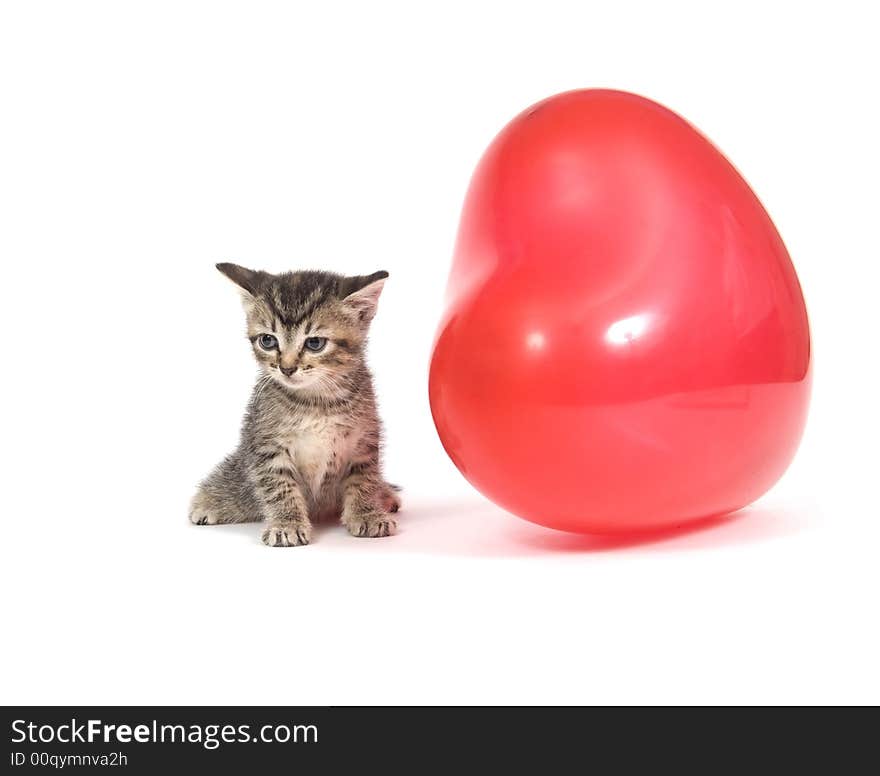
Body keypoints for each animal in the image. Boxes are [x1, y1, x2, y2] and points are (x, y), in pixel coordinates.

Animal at [192, 260, 402, 544]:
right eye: (267, 340)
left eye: (314, 343)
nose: (287, 368)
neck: (317, 401)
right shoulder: (265, 443)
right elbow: (279, 485)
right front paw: (286, 524)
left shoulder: (364, 439)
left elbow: (364, 479)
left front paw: (367, 514)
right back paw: (208, 502)